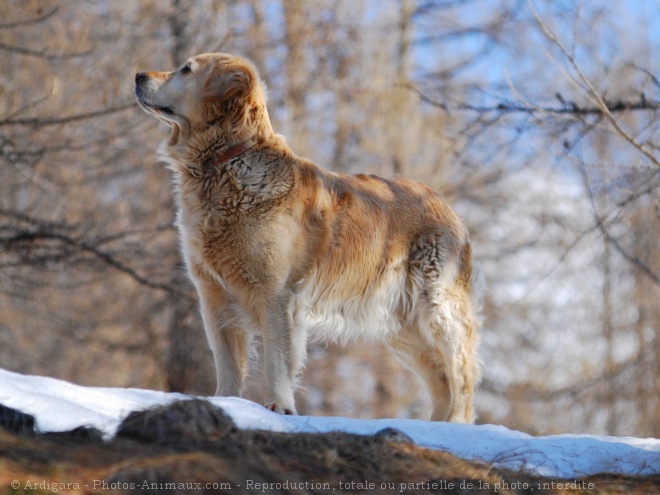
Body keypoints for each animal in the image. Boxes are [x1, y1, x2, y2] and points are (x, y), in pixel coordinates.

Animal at [135, 52, 484, 422]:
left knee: (461, 377)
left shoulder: (276, 294)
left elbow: (277, 358)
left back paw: (457, 424)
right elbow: (227, 363)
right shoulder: (212, 295)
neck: (225, 165)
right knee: (440, 380)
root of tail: (448, 206)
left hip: (437, 309)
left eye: (186, 70)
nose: (138, 75)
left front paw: (280, 406)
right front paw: (223, 403)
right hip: (403, 326)